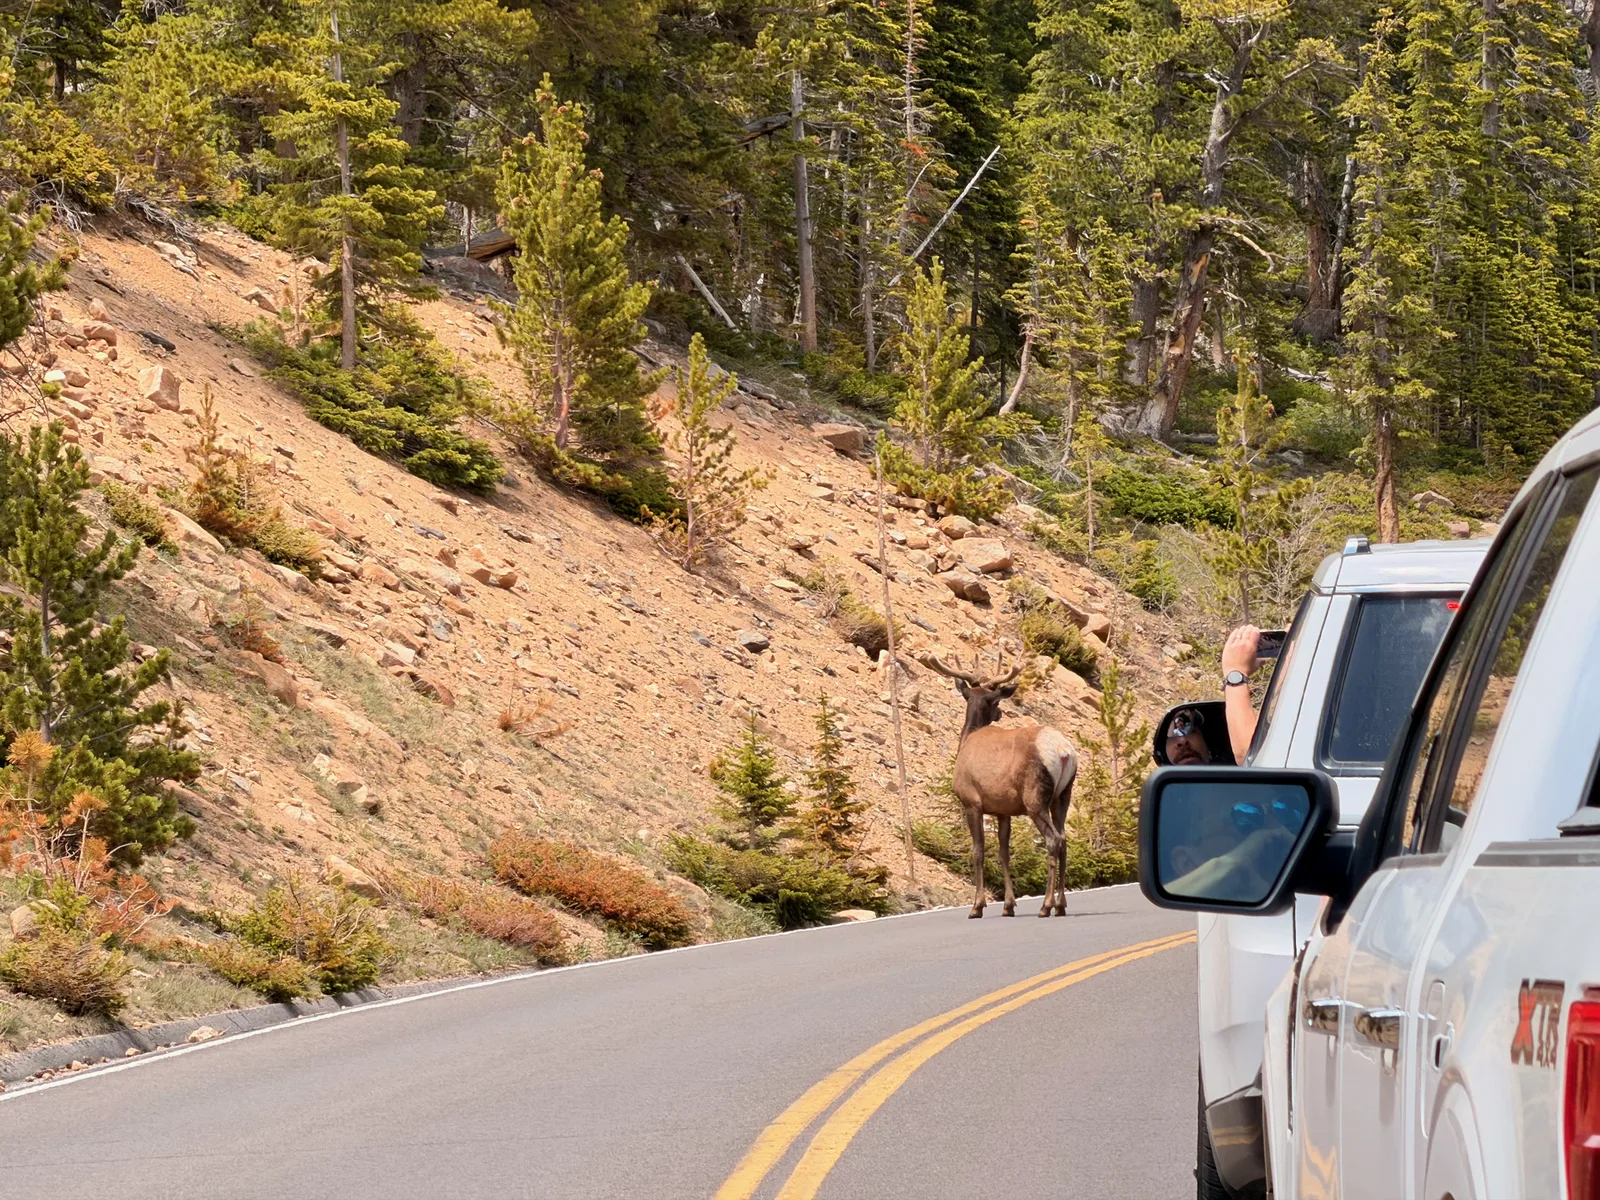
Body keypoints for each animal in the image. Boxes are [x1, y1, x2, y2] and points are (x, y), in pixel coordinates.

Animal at [923, 653, 1078, 919]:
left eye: (994, 700)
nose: (1000, 713)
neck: (966, 739)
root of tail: (1064, 752)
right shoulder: (1003, 810)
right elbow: (1004, 853)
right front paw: (1008, 905)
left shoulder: (971, 801)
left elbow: (978, 851)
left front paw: (977, 906)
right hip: (1063, 796)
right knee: (1065, 840)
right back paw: (1060, 905)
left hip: (1035, 797)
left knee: (1053, 840)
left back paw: (1046, 905)